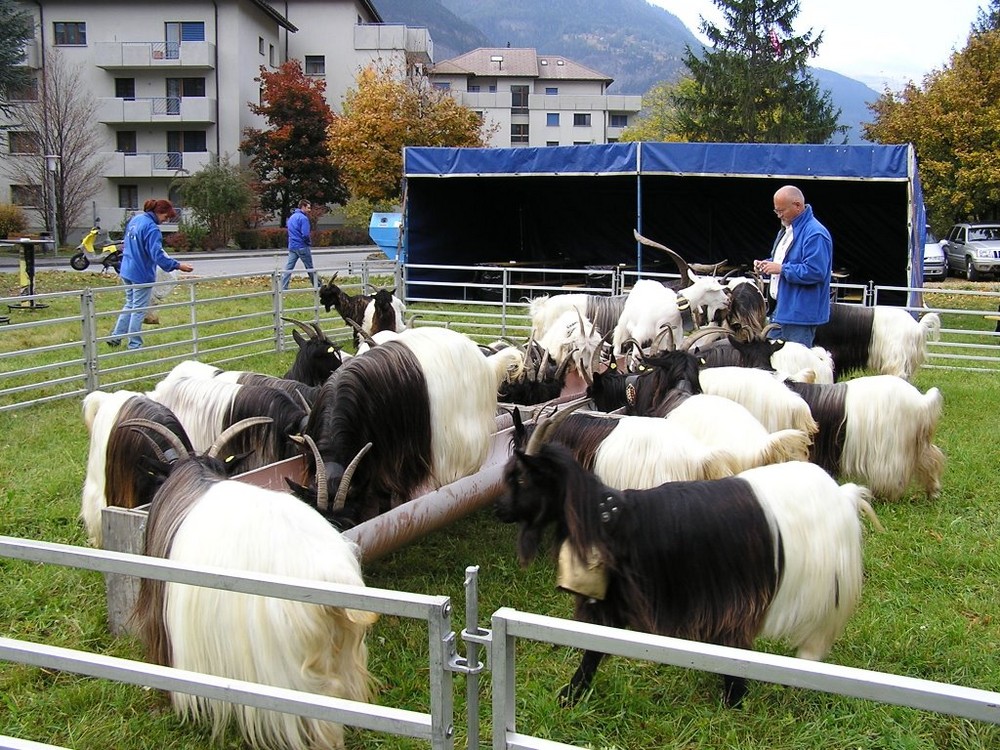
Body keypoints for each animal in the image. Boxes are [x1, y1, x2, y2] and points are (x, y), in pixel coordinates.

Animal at [496, 426, 880, 708]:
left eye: (521, 479)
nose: (501, 510)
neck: (608, 519)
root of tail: (842, 496)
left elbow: (594, 649)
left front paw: (570, 696)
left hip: (822, 585)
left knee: (814, 641)